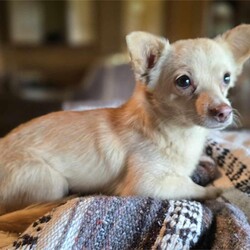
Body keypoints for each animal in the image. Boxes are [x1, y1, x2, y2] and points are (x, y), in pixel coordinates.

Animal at [0, 24, 249, 217]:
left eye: (226, 78)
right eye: (184, 81)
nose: (224, 111)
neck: (177, 132)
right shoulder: (146, 185)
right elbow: (190, 186)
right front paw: (218, 192)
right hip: (52, 182)